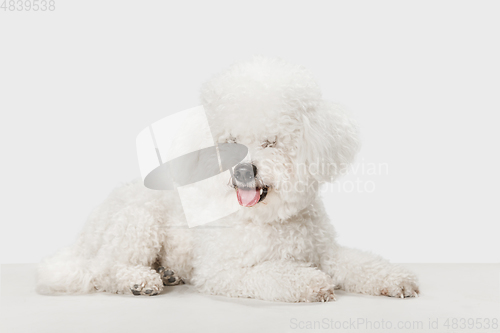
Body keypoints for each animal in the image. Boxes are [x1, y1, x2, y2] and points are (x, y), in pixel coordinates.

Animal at [38, 55, 418, 300]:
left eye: (271, 142)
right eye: (231, 143)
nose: (243, 169)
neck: (268, 220)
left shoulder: (325, 251)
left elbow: (359, 263)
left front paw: (395, 278)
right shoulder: (224, 271)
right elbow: (273, 273)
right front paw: (311, 283)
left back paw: (167, 273)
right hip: (138, 222)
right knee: (102, 269)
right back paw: (140, 280)